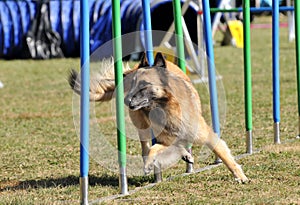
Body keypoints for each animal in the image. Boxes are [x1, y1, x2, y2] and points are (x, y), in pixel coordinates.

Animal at [68, 51, 248, 183]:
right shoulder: (163, 138)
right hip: (141, 125)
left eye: (143, 85)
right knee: (145, 147)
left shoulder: (208, 136)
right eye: (132, 85)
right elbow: (153, 149)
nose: (126, 100)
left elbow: (225, 156)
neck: (166, 108)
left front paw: (240, 176)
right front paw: (149, 164)